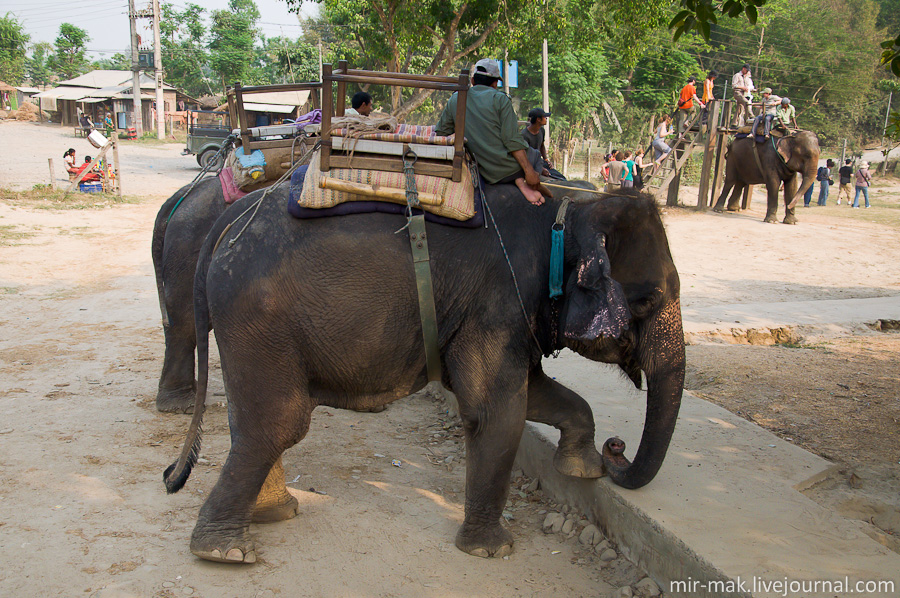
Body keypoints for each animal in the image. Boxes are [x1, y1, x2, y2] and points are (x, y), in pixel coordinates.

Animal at [167, 186, 688, 568]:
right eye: (646, 300)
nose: (616, 451)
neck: (570, 209)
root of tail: (231, 218)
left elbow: (535, 394)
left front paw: (581, 468)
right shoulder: (496, 304)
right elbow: (496, 413)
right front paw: (492, 551)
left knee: (255, 421)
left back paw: (273, 514)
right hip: (259, 318)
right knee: (278, 423)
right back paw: (225, 552)